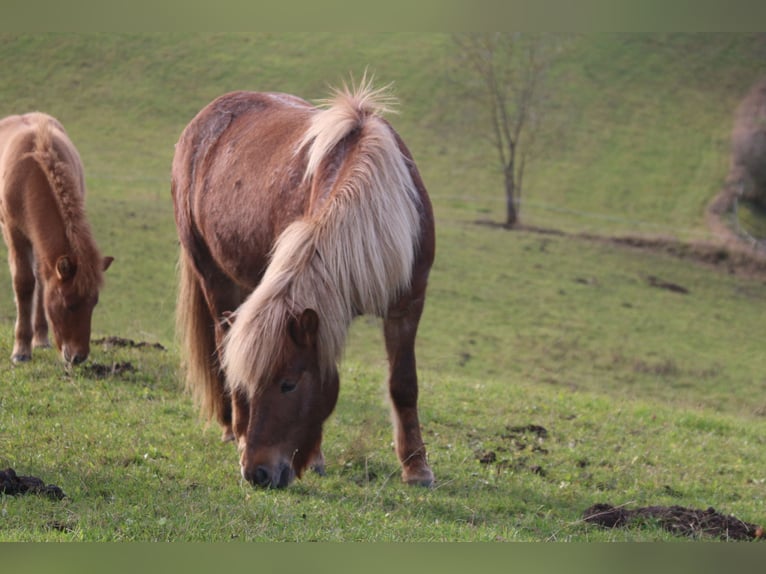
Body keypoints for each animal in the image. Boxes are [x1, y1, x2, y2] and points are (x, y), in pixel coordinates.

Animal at [0, 113, 113, 364]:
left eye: (93, 303)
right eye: (69, 305)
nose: (79, 356)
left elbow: (42, 283)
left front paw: (36, 339)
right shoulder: (15, 232)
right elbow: (24, 283)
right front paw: (21, 349)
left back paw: (41, 337)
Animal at [172, 80, 435, 489]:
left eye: (288, 383)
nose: (256, 473)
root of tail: (200, 124)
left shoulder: (408, 304)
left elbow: (403, 384)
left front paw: (417, 468)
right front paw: (316, 460)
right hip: (213, 276)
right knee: (222, 339)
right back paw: (235, 430)